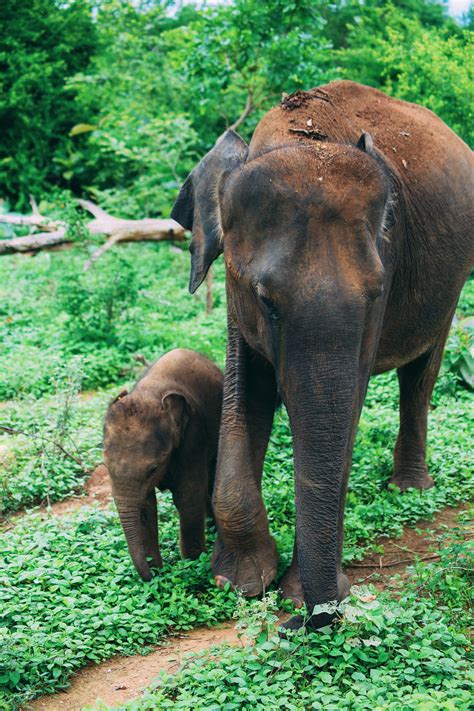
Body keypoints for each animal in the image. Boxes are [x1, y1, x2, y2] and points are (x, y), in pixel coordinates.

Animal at [103, 348, 222, 580]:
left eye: (153, 469)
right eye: (106, 468)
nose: (151, 575)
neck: (150, 394)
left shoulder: (193, 437)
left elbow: (188, 495)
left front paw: (194, 562)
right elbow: (146, 504)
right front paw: (157, 570)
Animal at [171, 80, 474, 632]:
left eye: (376, 293)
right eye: (266, 301)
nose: (306, 619)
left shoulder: (384, 270)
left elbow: (347, 406)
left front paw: (293, 591)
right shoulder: (236, 296)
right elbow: (246, 393)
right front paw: (238, 580)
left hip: (455, 281)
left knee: (421, 373)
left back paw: (409, 489)